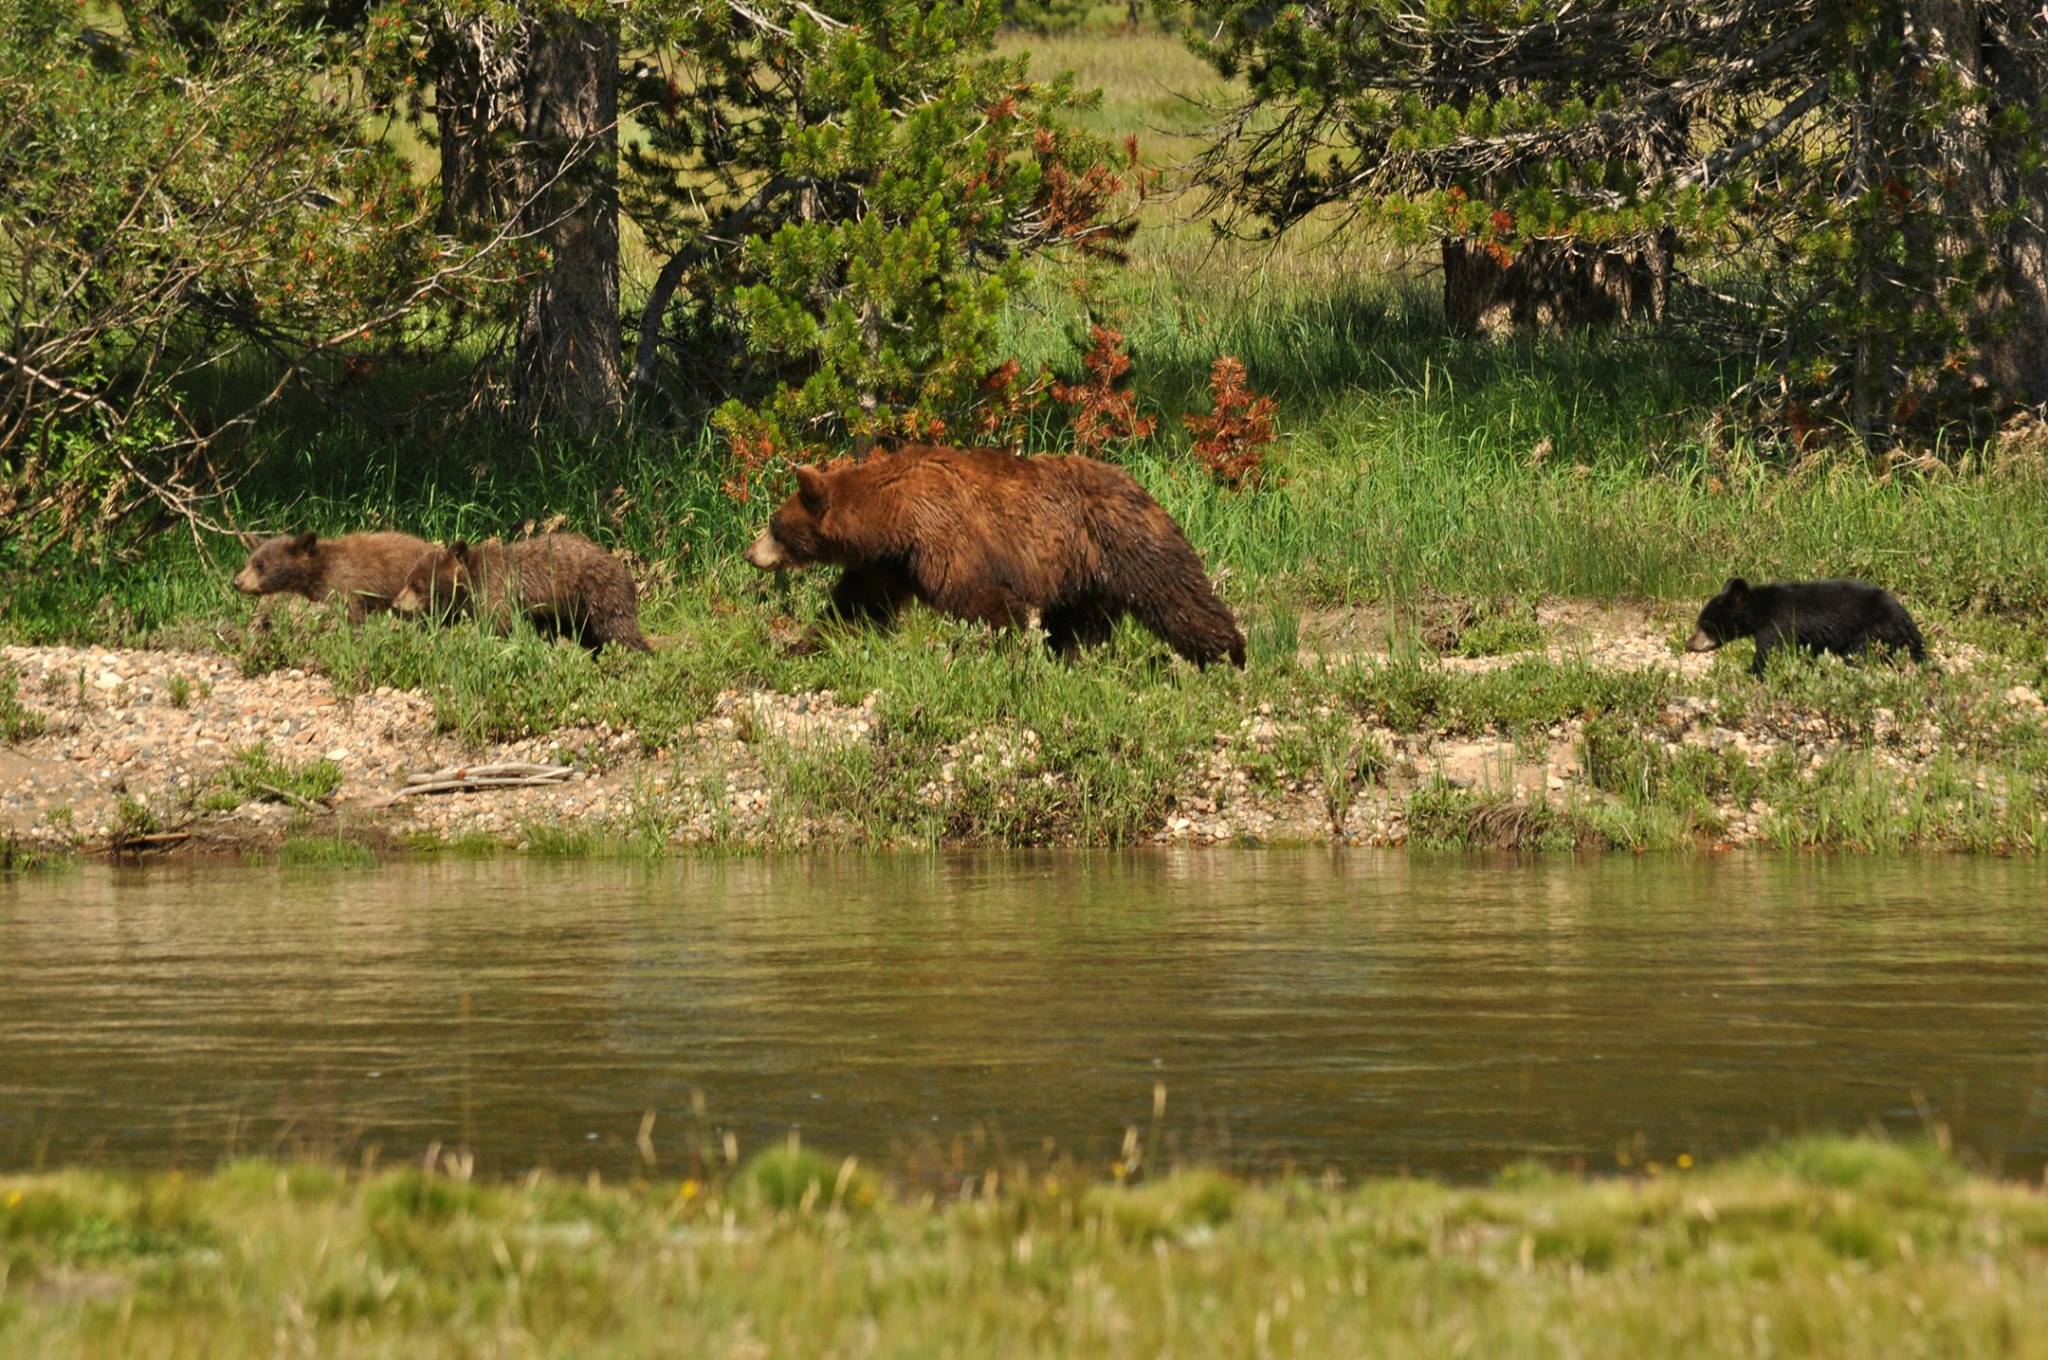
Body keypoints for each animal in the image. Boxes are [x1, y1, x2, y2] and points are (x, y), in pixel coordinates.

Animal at [395, 532, 651, 655]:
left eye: (416, 584)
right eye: (407, 580)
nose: (396, 604)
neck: (471, 582)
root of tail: (627, 573)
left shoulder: (496, 588)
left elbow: (498, 622)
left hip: (600, 593)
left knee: (618, 628)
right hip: (576, 612)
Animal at [741, 444, 1236, 667]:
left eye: (773, 524)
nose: (749, 553)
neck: (893, 517)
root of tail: (1139, 485)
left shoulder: (941, 537)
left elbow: (980, 596)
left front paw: (1009, 647)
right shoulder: (890, 565)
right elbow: (855, 606)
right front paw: (802, 644)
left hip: (1127, 542)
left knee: (1177, 594)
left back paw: (1229, 654)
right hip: (1084, 575)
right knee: (1081, 622)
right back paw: (1070, 657)